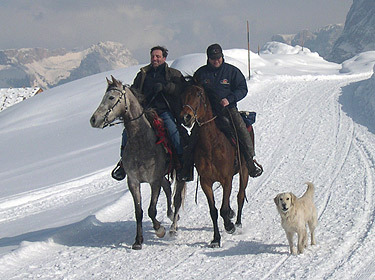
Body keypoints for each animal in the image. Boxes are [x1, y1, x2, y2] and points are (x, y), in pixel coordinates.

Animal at [90, 76, 187, 249]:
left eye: (111, 97)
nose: (94, 120)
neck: (141, 143)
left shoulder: (153, 181)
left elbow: (151, 210)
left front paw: (159, 230)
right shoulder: (133, 182)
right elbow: (139, 212)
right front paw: (138, 241)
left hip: (180, 175)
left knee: (177, 199)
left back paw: (173, 228)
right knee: (168, 188)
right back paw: (170, 216)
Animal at [180, 83, 251, 247]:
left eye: (199, 94)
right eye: (183, 94)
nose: (186, 117)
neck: (212, 145)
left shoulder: (227, 180)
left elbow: (223, 209)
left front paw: (230, 226)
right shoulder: (206, 182)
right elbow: (213, 211)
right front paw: (216, 239)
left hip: (244, 171)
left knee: (240, 196)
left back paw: (237, 223)